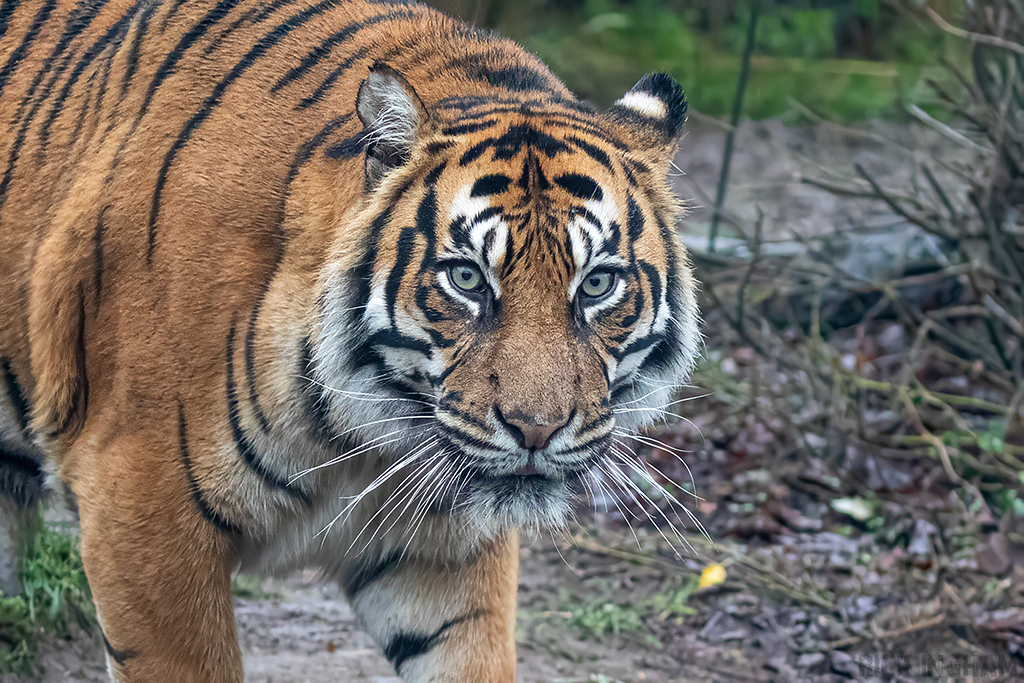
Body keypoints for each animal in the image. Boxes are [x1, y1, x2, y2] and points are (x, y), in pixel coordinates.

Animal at [0, 0, 701, 680]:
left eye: (597, 284)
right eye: (468, 278)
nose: (537, 431)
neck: (359, 433)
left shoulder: (443, 552)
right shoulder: (140, 510)